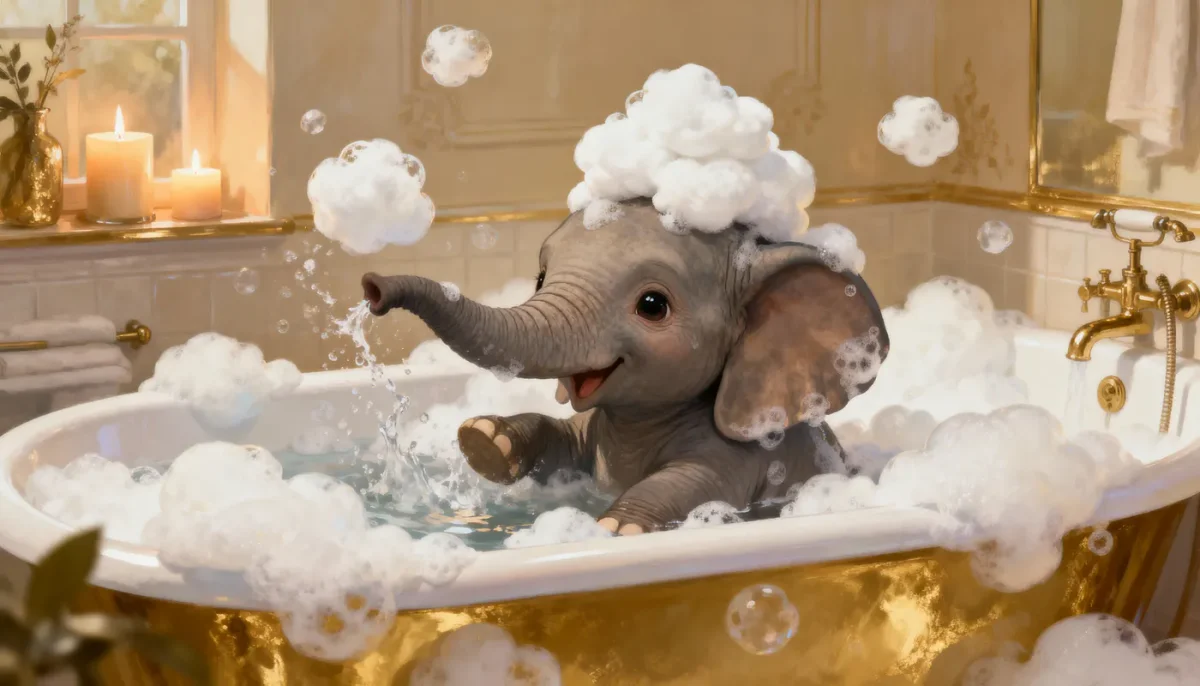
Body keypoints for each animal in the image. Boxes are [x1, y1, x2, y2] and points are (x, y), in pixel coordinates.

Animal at [361, 198, 890, 535]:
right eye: (540, 278)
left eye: (652, 305)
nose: (373, 287)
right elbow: (562, 439)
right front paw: (487, 439)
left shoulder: (751, 455)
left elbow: (694, 479)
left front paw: (617, 526)